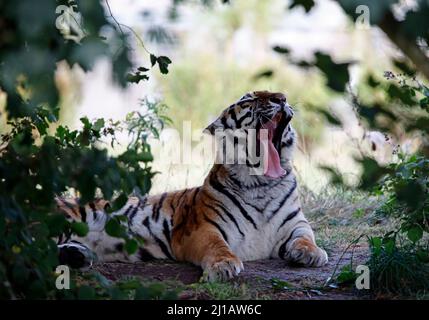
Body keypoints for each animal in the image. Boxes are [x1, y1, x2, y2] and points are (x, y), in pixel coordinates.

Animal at [55, 91, 326, 282]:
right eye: (249, 99)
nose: (282, 98)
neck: (262, 184)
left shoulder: (296, 223)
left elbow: (306, 237)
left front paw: (312, 253)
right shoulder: (203, 228)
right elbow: (217, 246)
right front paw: (223, 266)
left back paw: (77, 256)